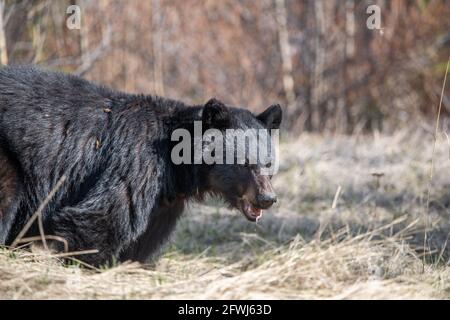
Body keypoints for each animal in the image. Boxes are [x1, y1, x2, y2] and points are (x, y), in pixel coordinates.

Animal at [0, 65, 282, 264]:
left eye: (268, 163)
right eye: (244, 163)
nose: (267, 198)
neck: (177, 168)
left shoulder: (164, 204)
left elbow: (143, 243)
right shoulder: (135, 164)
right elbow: (100, 220)